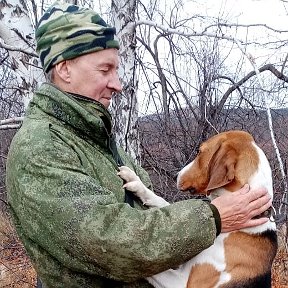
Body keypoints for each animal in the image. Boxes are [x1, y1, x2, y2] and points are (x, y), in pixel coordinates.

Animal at [118, 131, 278, 288]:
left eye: (199, 152)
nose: (175, 176)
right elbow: (163, 203)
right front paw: (136, 182)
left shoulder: (185, 283)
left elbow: (152, 270)